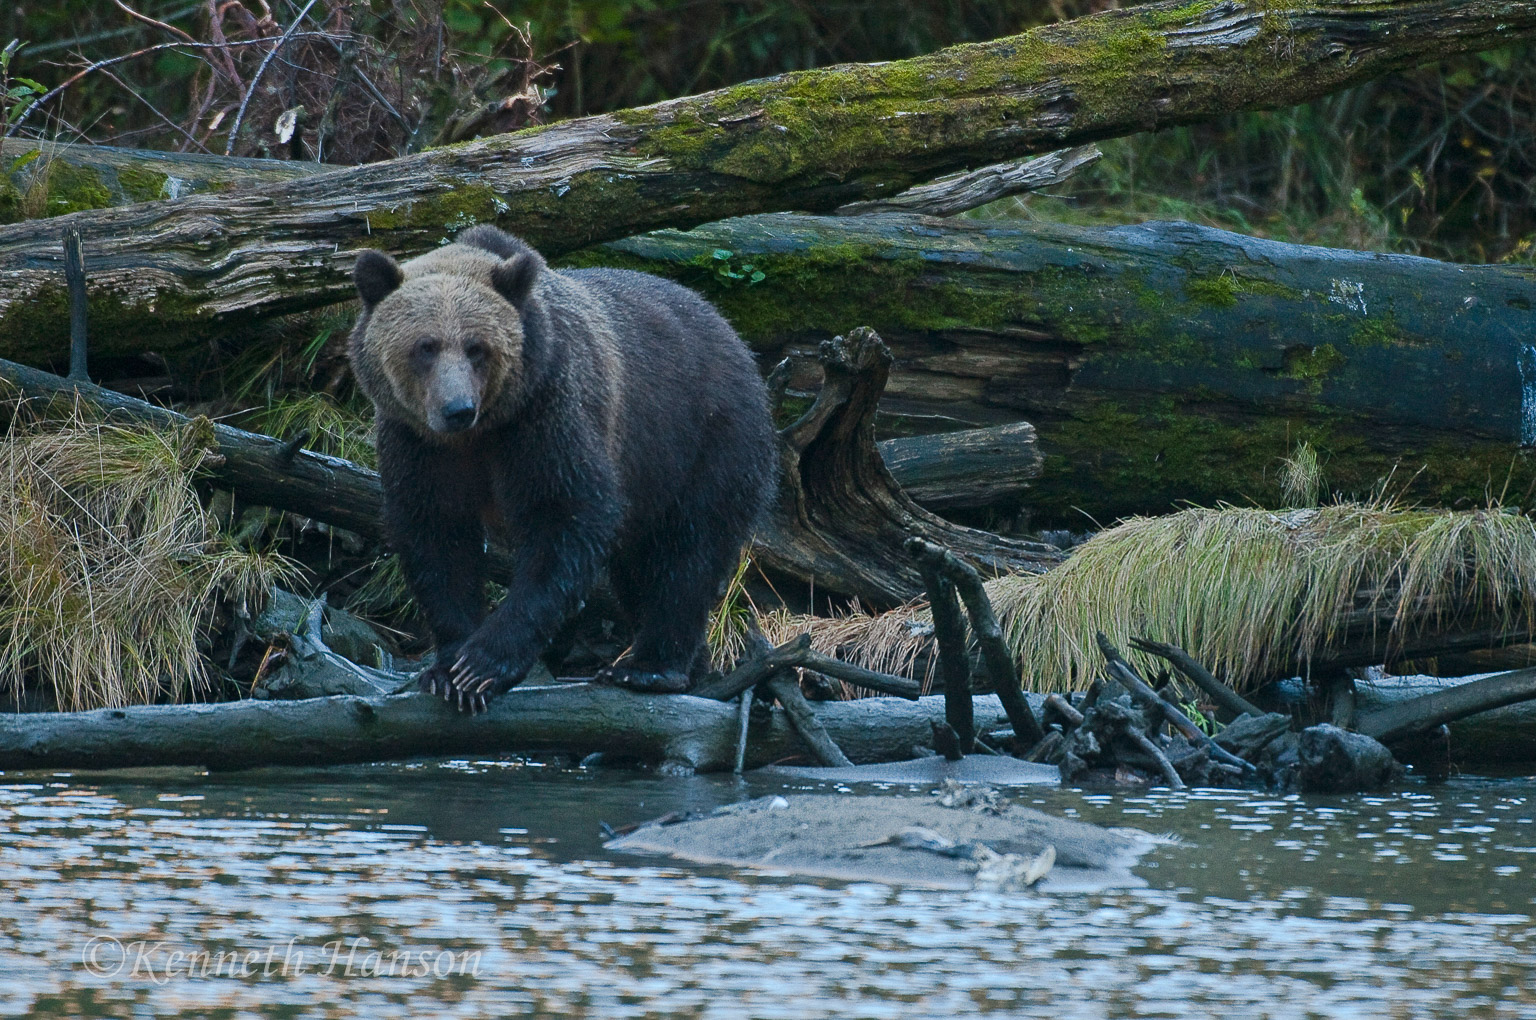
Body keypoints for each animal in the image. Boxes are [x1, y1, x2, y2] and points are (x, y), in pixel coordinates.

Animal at [351, 227, 774, 712]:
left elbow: (564, 518)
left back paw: (649, 666)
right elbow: (436, 538)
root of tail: (730, 330)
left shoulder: (547, 414)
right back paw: (692, 662)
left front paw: (482, 664)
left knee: (685, 551)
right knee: (638, 570)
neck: (482, 433)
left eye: (476, 347)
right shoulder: (418, 445)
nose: (457, 409)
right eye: (425, 346)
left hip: (702, 439)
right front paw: (447, 668)